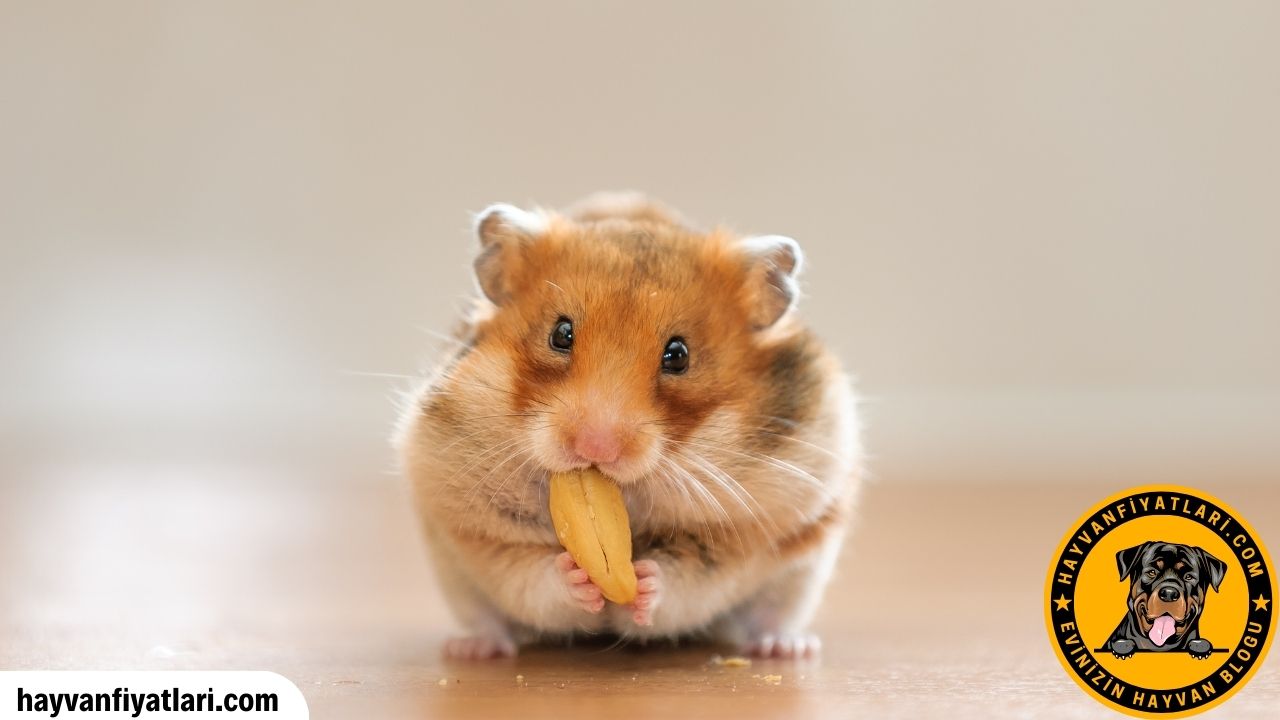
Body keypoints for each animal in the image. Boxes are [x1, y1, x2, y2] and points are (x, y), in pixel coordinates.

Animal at [395, 192, 861, 660]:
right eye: (560, 334)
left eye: (678, 355)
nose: (595, 449)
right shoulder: (474, 525)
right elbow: (531, 574)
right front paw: (576, 577)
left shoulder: (746, 532)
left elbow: (689, 579)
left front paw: (644, 583)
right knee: (487, 618)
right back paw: (472, 649)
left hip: (801, 575)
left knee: (770, 616)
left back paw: (787, 648)